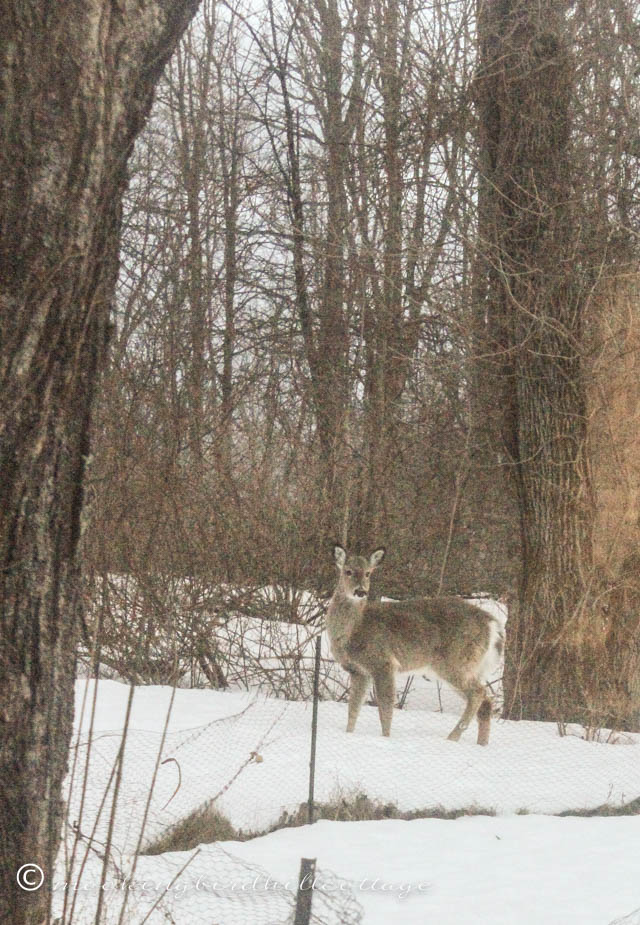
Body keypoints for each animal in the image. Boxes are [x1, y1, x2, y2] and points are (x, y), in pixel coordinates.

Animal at [324, 544, 504, 748]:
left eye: (368, 573)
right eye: (348, 571)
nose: (360, 591)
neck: (355, 629)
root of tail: (492, 624)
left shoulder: (384, 663)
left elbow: (385, 709)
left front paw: (385, 739)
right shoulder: (358, 671)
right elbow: (353, 709)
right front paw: (349, 735)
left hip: (456, 661)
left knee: (478, 693)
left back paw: (452, 738)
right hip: (471, 667)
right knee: (486, 702)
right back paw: (481, 745)